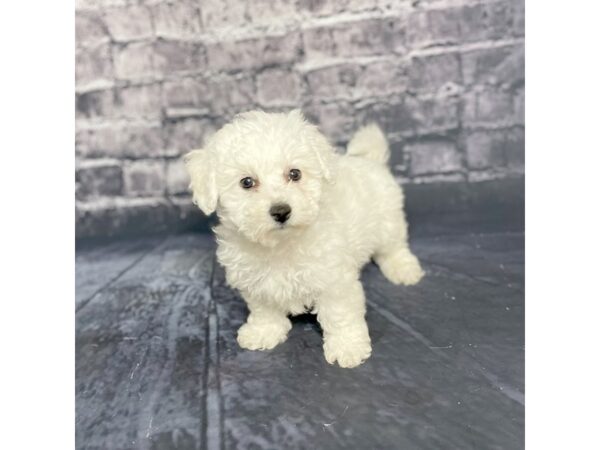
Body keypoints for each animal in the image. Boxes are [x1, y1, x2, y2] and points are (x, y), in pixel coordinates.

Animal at [185, 110, 424, 368]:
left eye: (295, 174)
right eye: (246, 182)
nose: (281, 211)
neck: (281, 245)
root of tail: (371, 161)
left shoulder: (335, 280)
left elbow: (339, 313)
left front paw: (347, 346)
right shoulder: (256, 280)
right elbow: (264, 308)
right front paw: (264, 331)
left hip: (388, 222)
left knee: (393, 248)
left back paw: (403, 269)